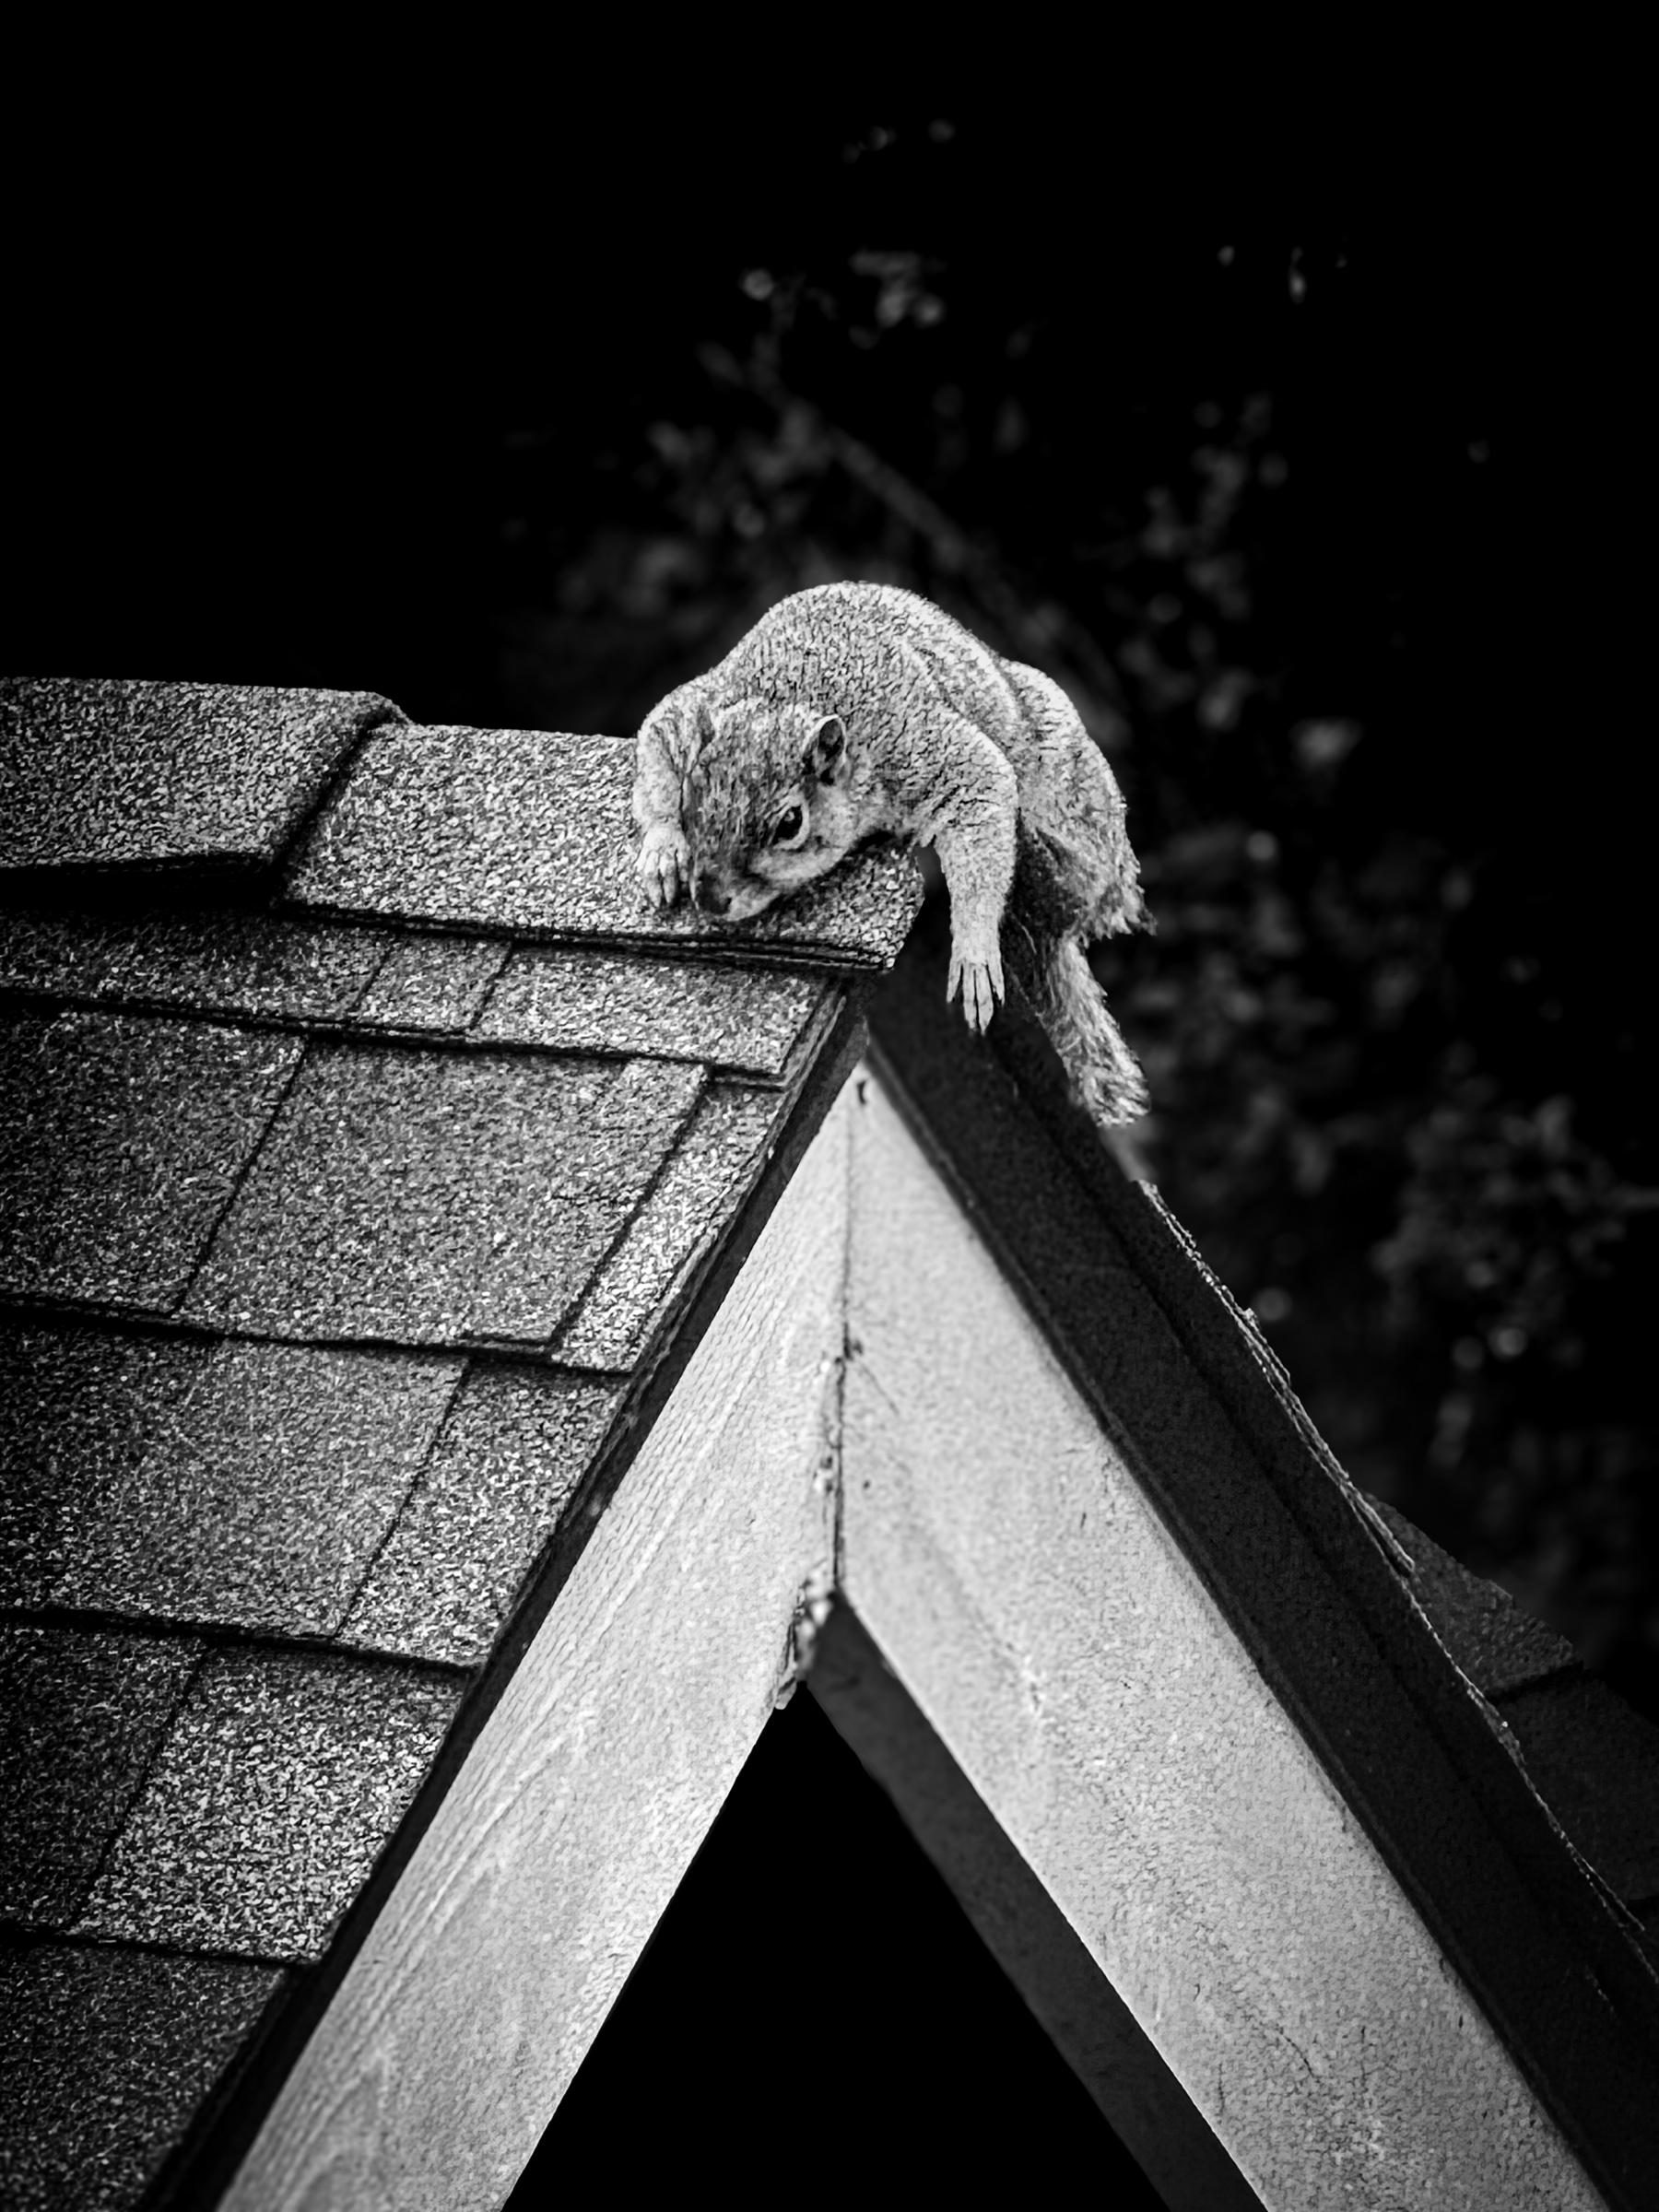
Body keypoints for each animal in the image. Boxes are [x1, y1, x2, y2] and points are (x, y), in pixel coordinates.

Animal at [632, 580, 1152, 1125]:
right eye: (691, 794)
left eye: (790, 823)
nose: (711, 899)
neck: (792, 697)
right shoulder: (689, 717)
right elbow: (657, 741)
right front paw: (663, 851)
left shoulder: (924, 748)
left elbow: (983, 782)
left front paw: (973, 951)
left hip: (1073, 801)